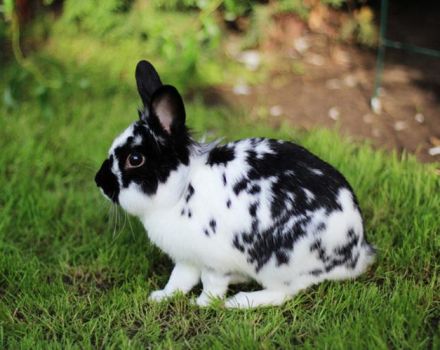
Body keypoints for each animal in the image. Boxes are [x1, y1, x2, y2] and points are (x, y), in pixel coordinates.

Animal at [95, 60, 374, 308]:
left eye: (135, 159)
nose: (99, 182)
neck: (181, 189)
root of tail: (356, 254)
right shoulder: (186, 258)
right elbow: (179, 280)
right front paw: (161, 297)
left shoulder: (214, 260)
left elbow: (211, 283)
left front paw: (202, 304)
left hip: (278, 264)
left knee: (284, 293)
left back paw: (238, 302)